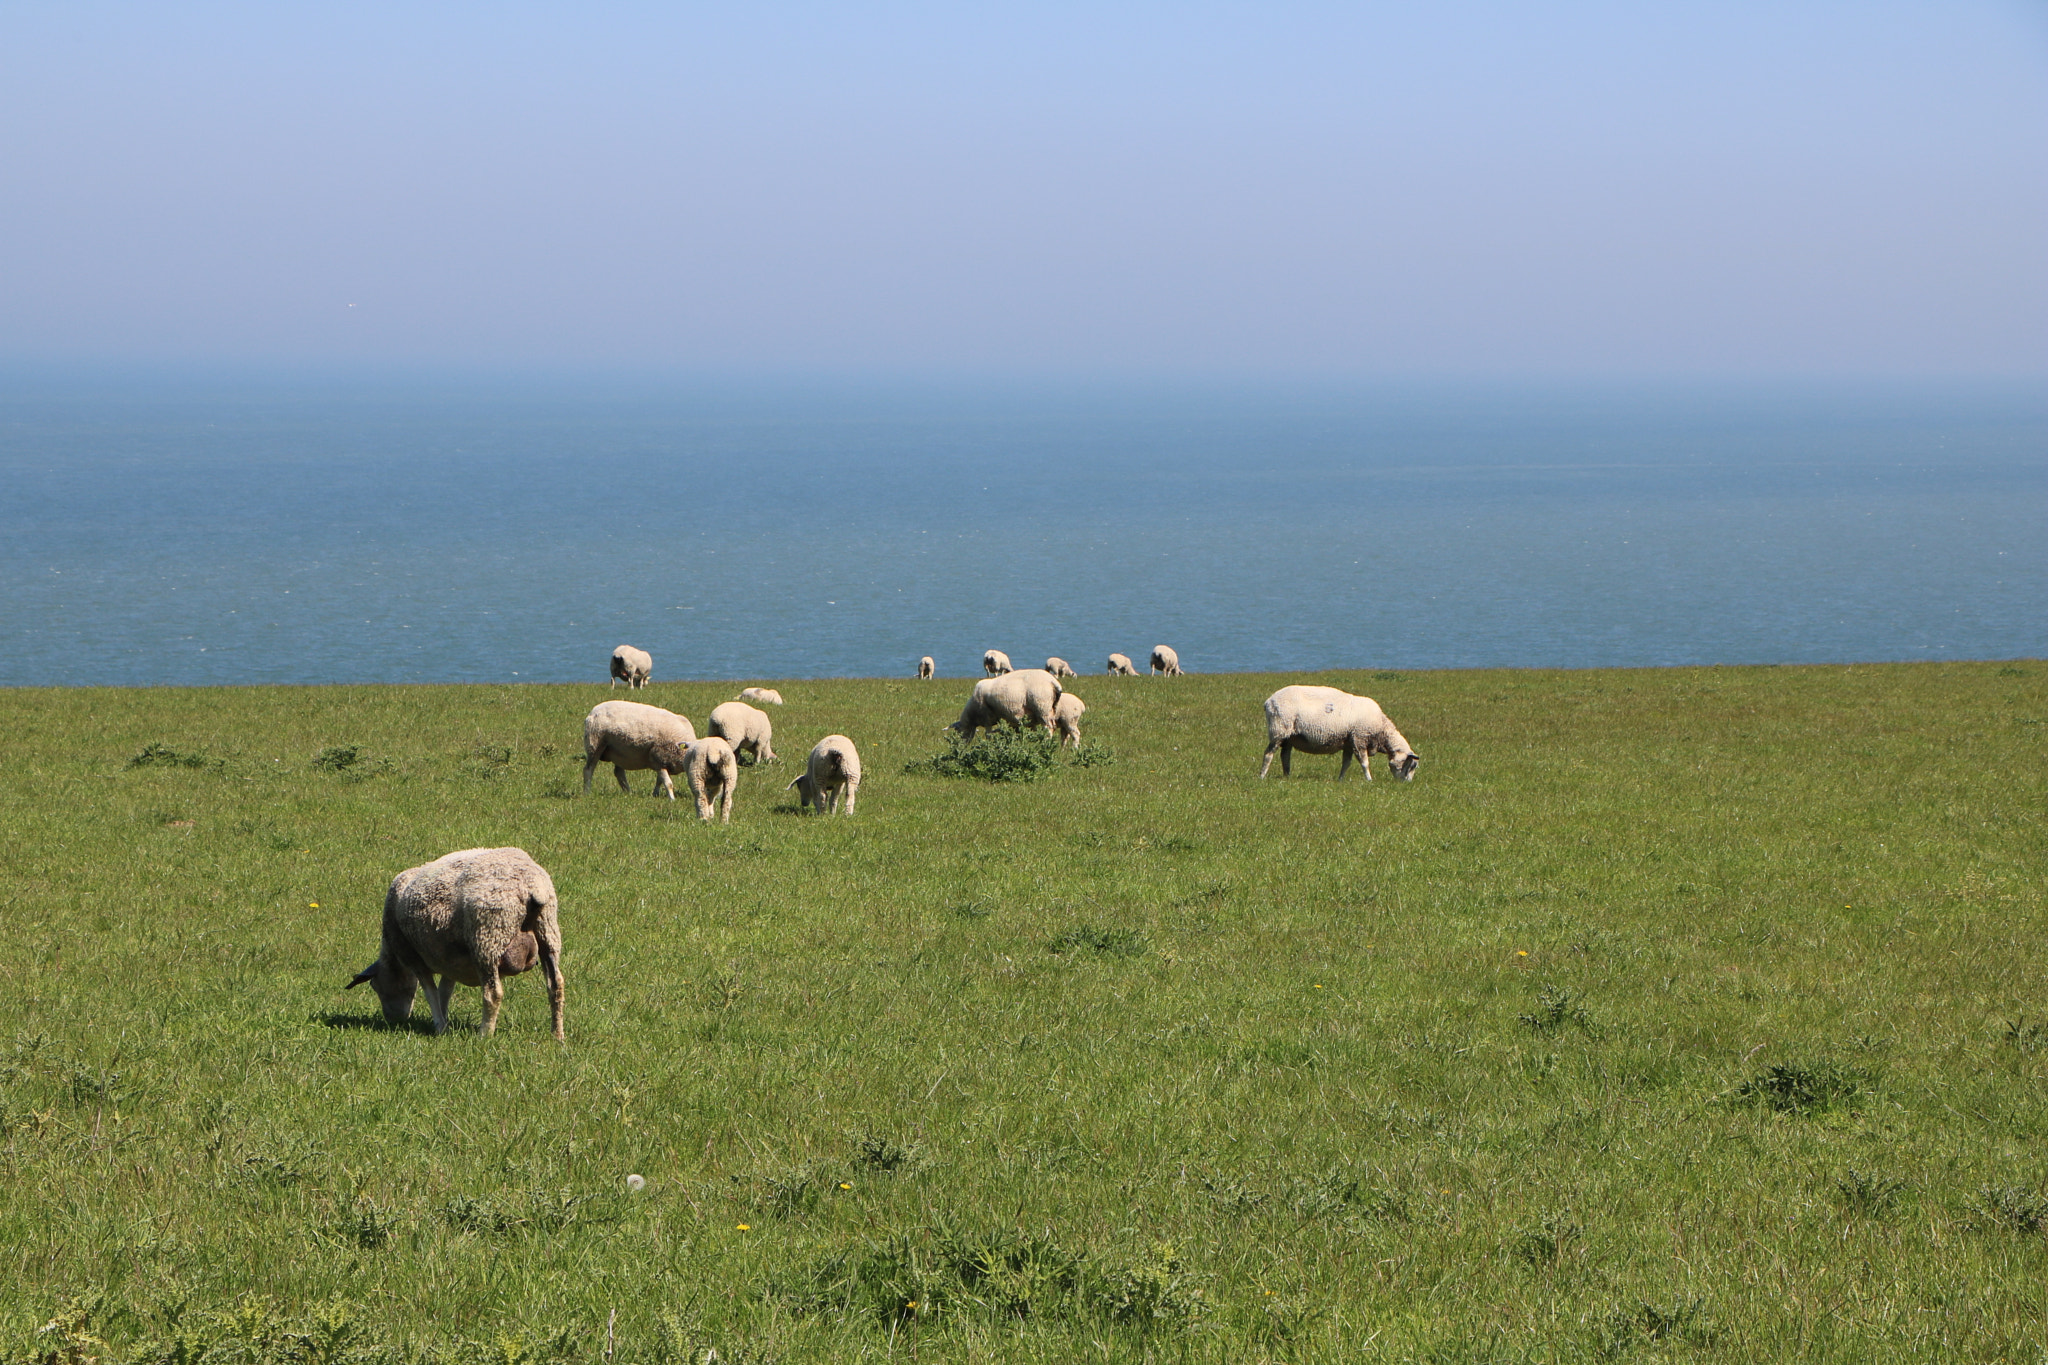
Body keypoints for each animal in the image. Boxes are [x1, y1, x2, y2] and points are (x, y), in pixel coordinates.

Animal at [346, 847, 565, 1040]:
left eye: (375, 986)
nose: (394, 1020)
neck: (394, 957)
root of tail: (531, 885)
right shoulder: (450, 960)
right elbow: (445, 991)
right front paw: (444, 1022)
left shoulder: (413, 956)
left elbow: (431, 992)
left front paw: (440, 1026)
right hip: (547, 932)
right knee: (556, 985)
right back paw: (557, 1035)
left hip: (488, 937)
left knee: (493, 993)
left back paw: (484, 1035)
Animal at [1257, 685, 1421, 782]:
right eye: (1411, 766)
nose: (1406, 783)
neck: (1381, 730)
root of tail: (1269, 701)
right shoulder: (1359, 738)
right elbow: (1364, 763)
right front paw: (1369, 780)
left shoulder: (1349, 743)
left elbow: (1346, 763)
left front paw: (1340, 780)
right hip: (1279, 730)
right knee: (1268, 754)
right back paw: (1262, 776)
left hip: (1288, 736)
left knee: (1285, 755)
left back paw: (1287, 776)